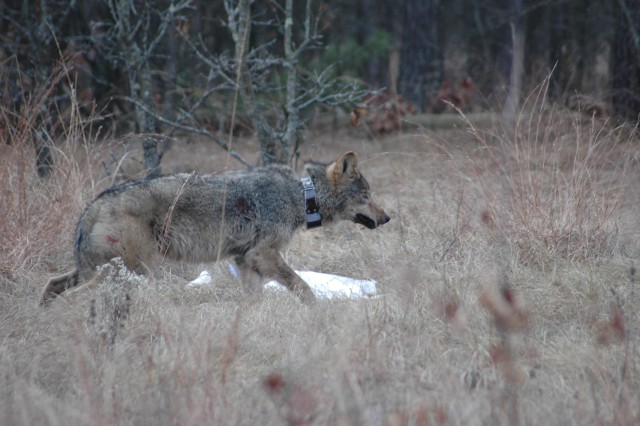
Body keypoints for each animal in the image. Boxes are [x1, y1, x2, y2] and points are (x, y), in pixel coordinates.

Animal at [41, 153, 390, 306]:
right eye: (366, 197)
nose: (387, 218)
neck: (301, 196)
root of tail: (91, 207)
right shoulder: (264, 255)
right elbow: (303, 286)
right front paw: (318, 311)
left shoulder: (246, 261)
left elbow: (253, 300)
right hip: (133, 272)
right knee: (74, 295)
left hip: (98, 271)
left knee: (52, 285)